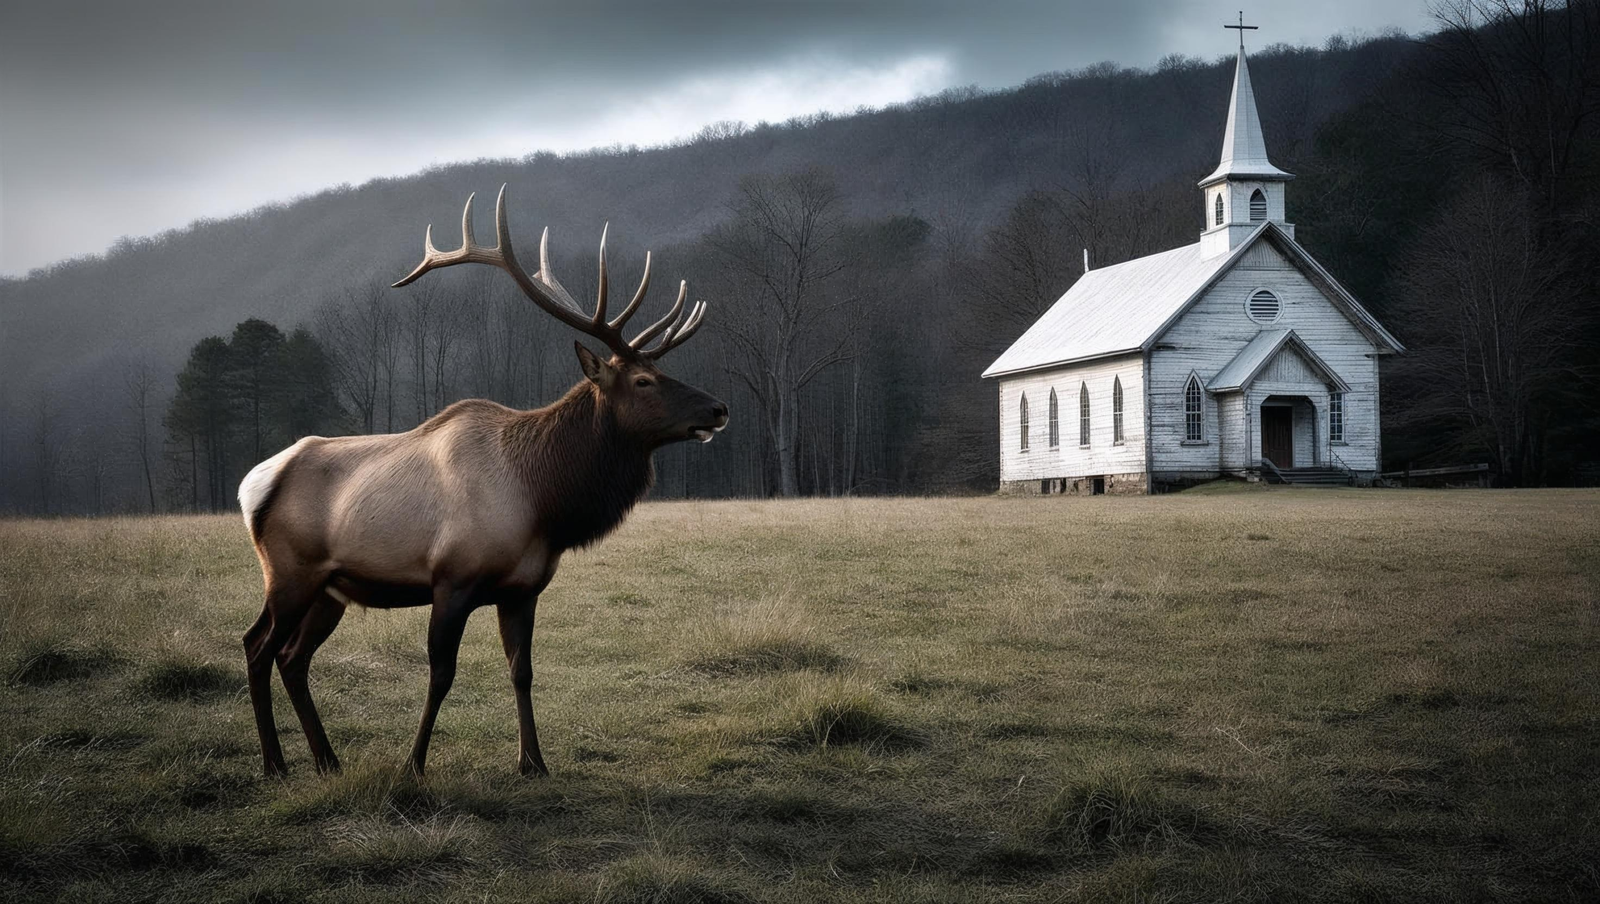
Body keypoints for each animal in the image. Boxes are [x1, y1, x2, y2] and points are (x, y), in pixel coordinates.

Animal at [237, 185, 728, 778]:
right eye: (642, 381)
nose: (719, 408)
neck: (545, 503)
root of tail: (254, 485)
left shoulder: (523, 589)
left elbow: (522, 670)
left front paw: (533, 762)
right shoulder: (452, 579)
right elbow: (441, 675)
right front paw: (414, 765)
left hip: (331, 589)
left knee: (292, 657)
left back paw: (327, 760)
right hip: (289, 572)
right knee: (257, 646)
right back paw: (274, 763)